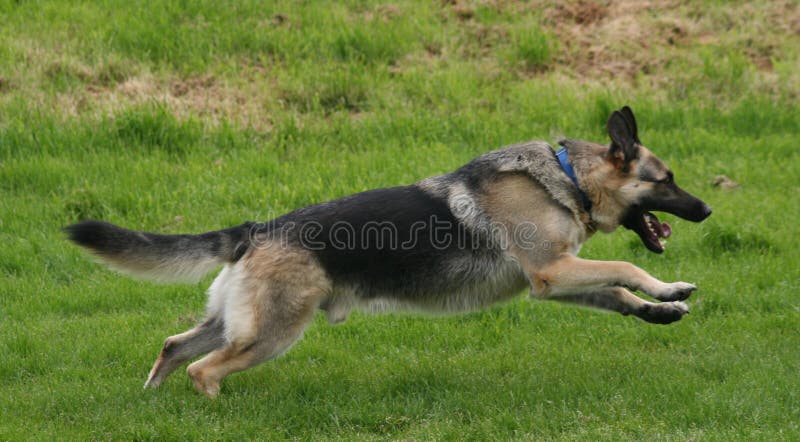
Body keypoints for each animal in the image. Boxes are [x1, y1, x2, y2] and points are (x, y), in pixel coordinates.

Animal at [65, 105, 708, 396]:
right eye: (667, 179)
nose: (706, 210)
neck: (569, 178)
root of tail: (256, 228)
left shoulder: (556, 280)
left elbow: (619, 292)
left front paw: (665, 303)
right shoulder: (555, 271)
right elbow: (626, 265)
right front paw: (664, 287)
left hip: (236, 322)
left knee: (175, 347)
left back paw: (153, 404)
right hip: (272, 334)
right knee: (203, 368)